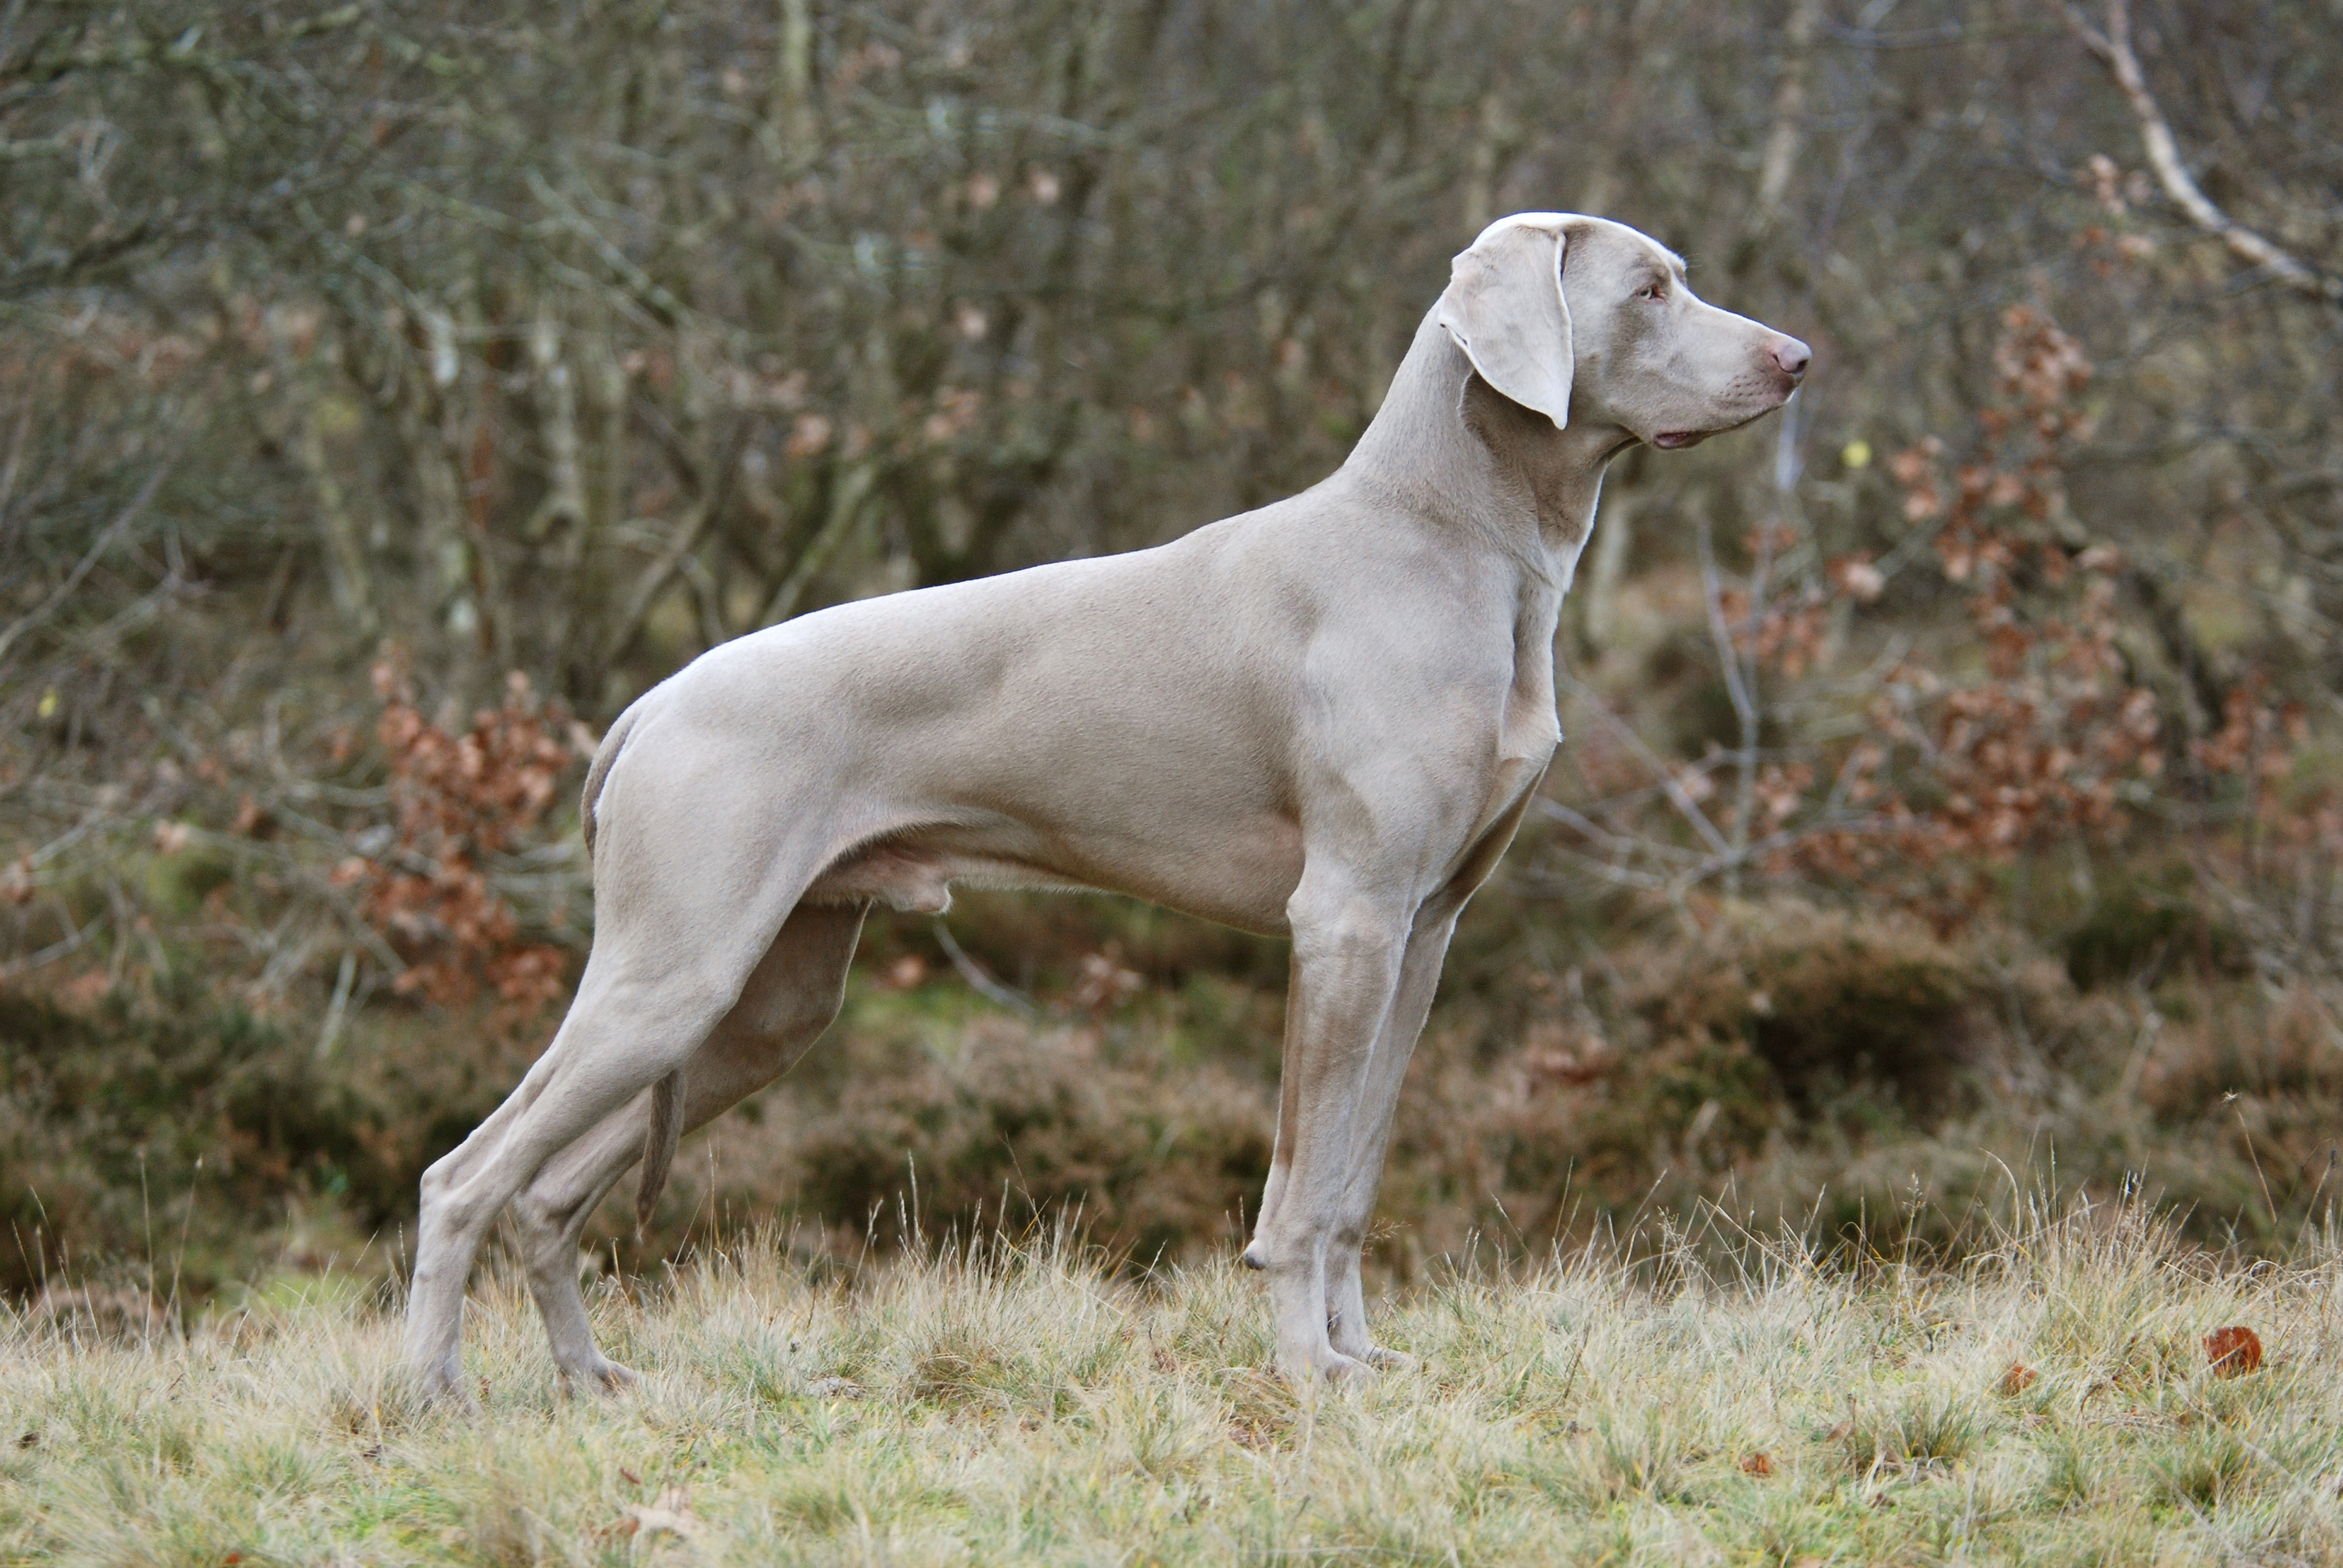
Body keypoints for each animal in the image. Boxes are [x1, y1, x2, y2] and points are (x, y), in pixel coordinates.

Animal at [407, 211, 1809, 1397]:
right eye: (1649, 289)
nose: (1799, 359)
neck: (1444, 541)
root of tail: (649, 705)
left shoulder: (1423, 935)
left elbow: (1355, 1178)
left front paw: (1363, 1360)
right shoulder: (1343, 922)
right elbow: (1300, 1192)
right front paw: (1307, 1373)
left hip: (761, 1009)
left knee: (546, 1193)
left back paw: (593, 1385)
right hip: (674, 976)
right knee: (462, 1177)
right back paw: (436, 1398)